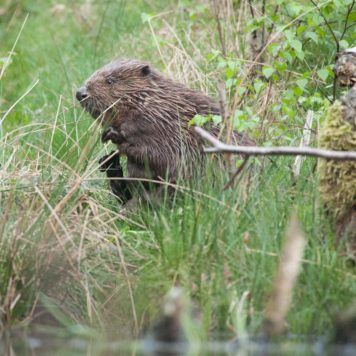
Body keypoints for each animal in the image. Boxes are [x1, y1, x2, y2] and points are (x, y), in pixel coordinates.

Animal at [77, 59, 250, 202]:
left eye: (110, 81)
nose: (80, 93)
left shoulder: (166, 127)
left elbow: (163, 158)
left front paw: (114, 138)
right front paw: (107, 153)